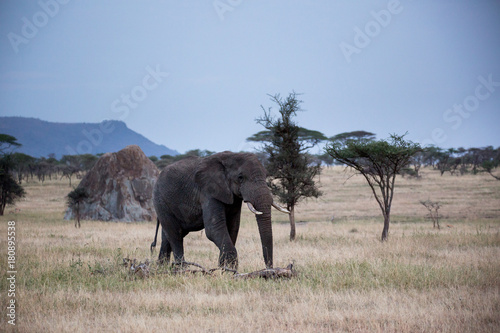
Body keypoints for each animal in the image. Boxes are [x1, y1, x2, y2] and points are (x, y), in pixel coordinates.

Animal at [149, 152, 290, 268]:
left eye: (266, 176)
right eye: (240, 177)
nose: (269, 269)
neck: (231, 156)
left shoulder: (233, 197)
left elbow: (233, 227)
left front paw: (223, 268)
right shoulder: (208, 192)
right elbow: (214, 229)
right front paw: (229, 271)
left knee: (167, 236)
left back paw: (162, 268)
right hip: (160, 200)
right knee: (176, 234)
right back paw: (181, 269)